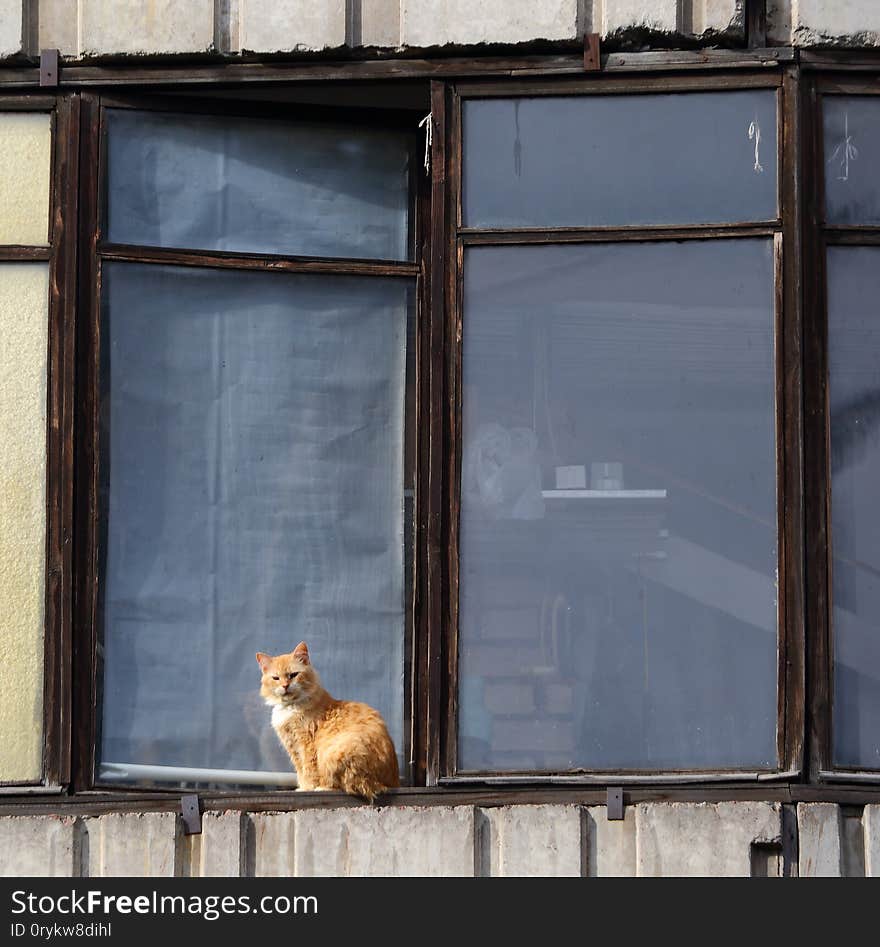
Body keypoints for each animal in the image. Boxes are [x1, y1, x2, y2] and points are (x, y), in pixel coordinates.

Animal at [256, 640, 400, 804]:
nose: (285, 685)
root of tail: (392, 782)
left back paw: (322, 788)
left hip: (333, 753)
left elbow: (308, 771)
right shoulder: (293, 749)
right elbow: (300, 771)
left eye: (293, 675)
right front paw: (302, 787)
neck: (290, 707)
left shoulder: (306, 745)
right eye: (276, 678)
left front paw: (307, 789)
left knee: (348, 786)